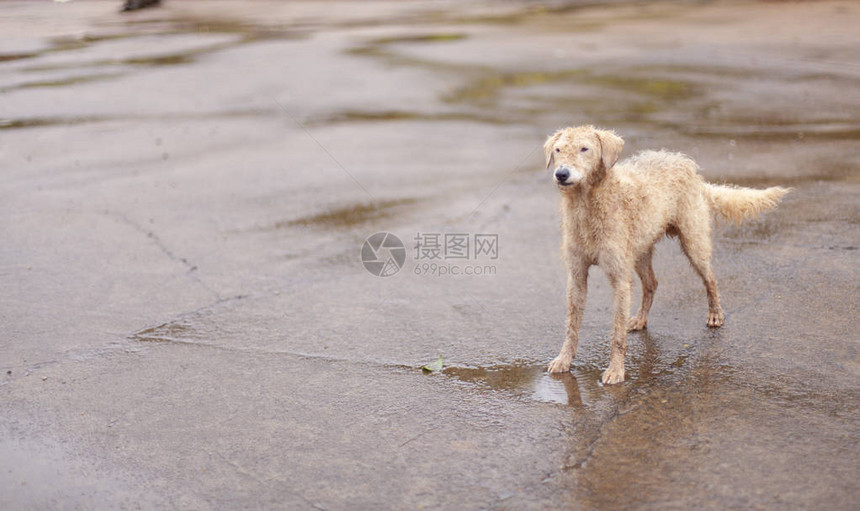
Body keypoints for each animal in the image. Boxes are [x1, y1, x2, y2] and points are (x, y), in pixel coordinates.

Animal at [548, 127, 788, 384]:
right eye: (558, 150)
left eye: (585, 149)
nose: (561, 174)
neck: (587, 204)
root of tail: (688, 167)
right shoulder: (577, 276)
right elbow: (572, 325)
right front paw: (564, 360)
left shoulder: (620, 279)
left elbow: (617, 333)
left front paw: (616, 370)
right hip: (641, 251)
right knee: (652, 283)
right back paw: (641, 319)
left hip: (694, 243)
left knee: (710, 279)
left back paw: (715, 314)